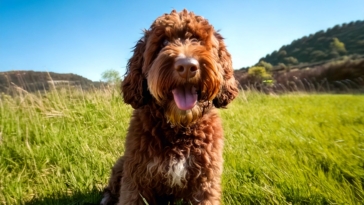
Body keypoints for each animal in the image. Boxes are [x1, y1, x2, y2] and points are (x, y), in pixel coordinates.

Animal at [101, 8, 239, 204]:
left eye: (198, 40)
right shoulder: (136, 178)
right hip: (122, 163)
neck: (178, 129)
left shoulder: (205, 181)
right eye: (164, 42)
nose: (187, 66)